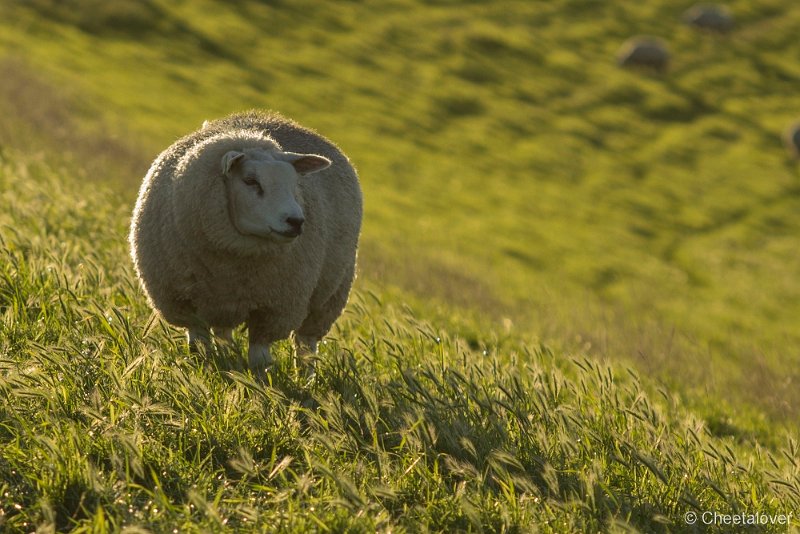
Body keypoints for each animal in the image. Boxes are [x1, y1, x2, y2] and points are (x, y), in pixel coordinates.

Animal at [129, 110, 362, 376]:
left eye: (295, 185)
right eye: (251, 181)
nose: (296, 221)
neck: (234, 263)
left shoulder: (273, 309)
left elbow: (260, 358)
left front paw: (260, 382)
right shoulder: (184, 304)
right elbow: (199, 347)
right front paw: (205, 370)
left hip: (329, 296)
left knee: (306, 344)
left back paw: (305, 377)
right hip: (222, 303)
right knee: (224, 332)